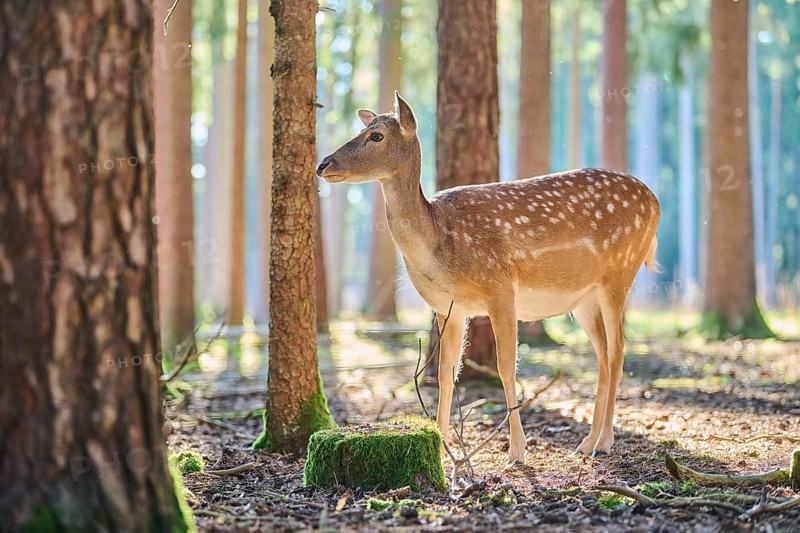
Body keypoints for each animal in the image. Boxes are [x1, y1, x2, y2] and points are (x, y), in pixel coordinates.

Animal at [316, 92, 660, 463]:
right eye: (363, 129)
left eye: (376, 135)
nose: (323, 165)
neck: (438, 243)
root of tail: (656, 203)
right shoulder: (449, 308)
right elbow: (447, 373)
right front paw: (442, 444)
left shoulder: (501, 290)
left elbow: (506, 367)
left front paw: (517, 451)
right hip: (584, 299)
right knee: (603, 357)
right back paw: (587, 442)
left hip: (619, 274)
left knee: (618, 353)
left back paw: (605, 441)